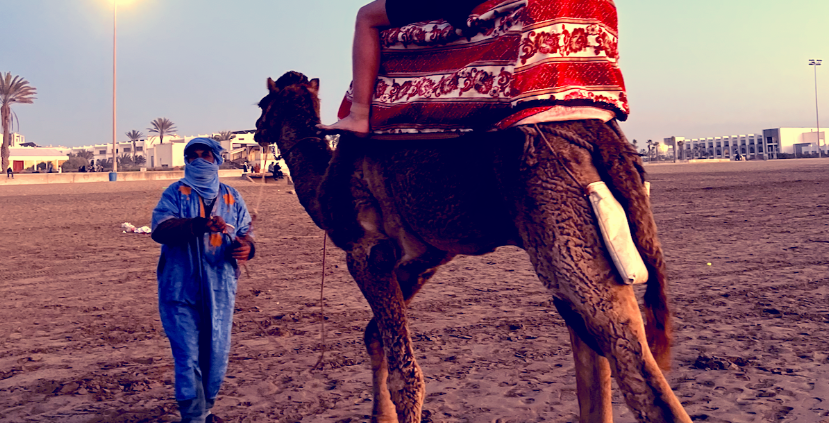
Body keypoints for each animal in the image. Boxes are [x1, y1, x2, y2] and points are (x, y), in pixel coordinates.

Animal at [254, 71, 692, 422]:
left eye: (263, 103)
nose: (256, 128)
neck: (323, 182)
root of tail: (601, 137)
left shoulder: (366, 252)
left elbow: (406, 377)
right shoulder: (422, 258)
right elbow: (374, 336)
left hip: (564, 227)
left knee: (637, 372)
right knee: (593, 351)